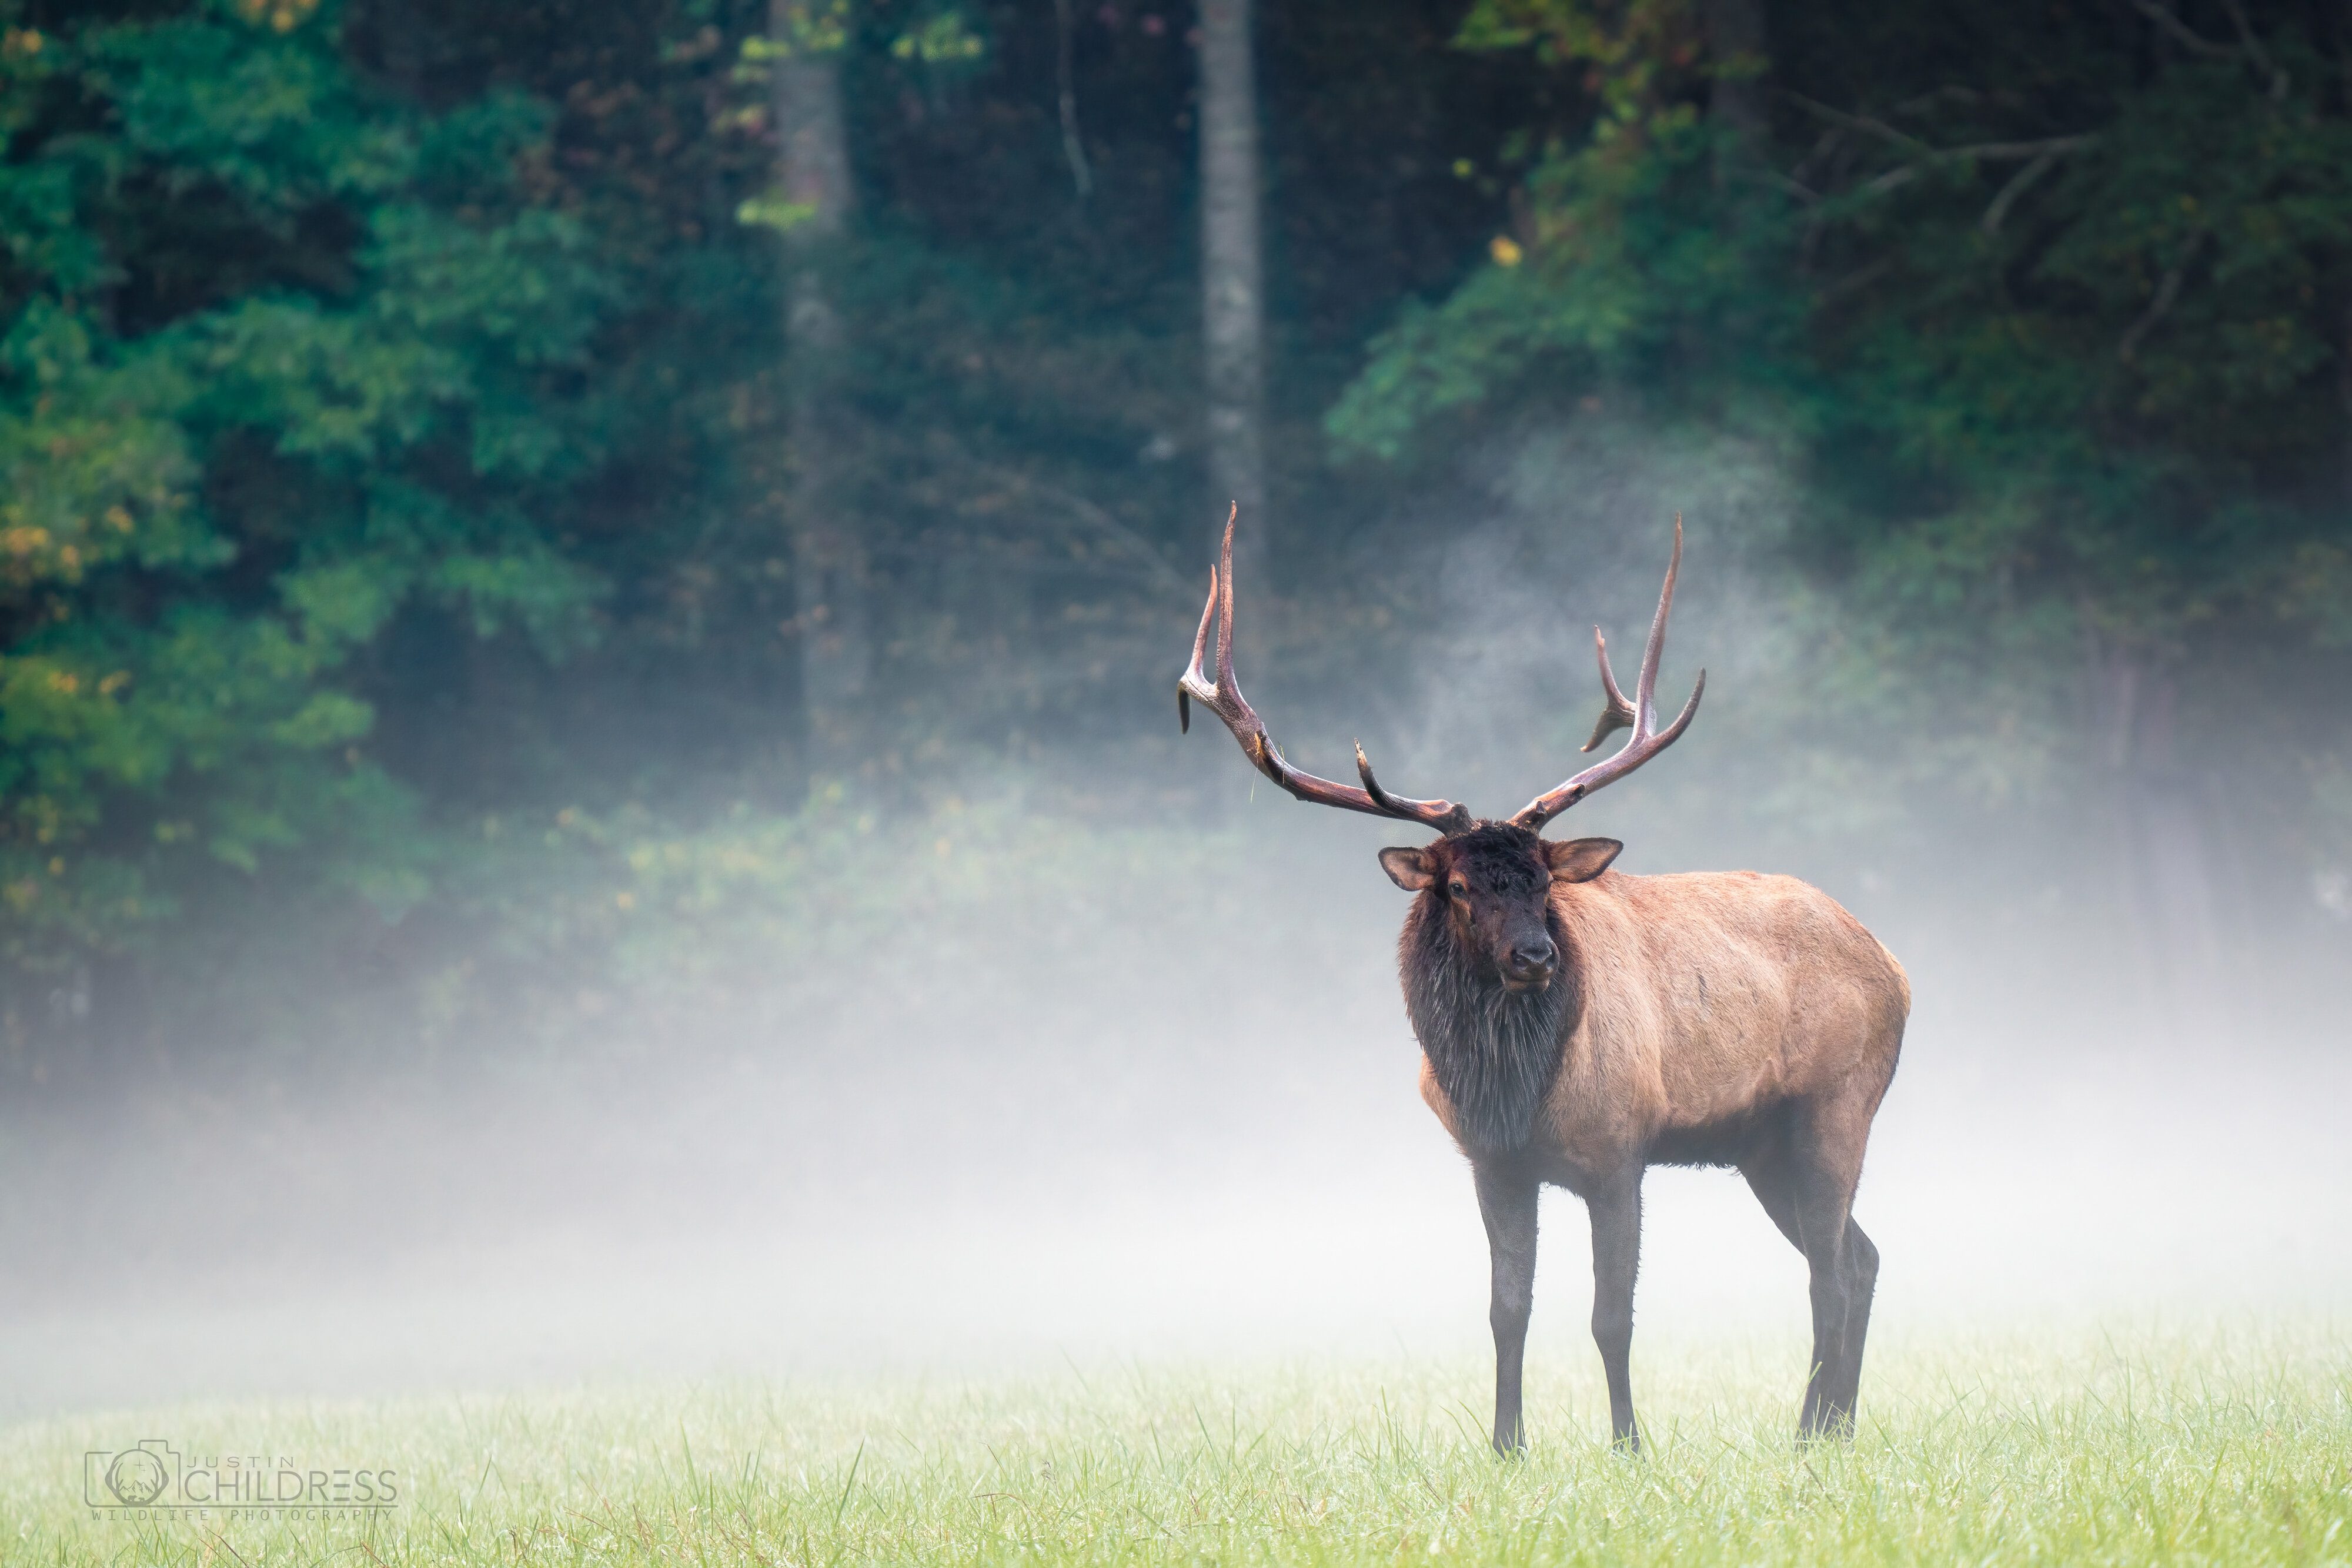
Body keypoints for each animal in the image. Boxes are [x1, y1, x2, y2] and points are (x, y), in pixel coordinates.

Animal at [1176, 510, 1910, 1457]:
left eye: (1542, 880)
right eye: (1458, 885)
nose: (1535, 955)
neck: (1512, 1088)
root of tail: (1895, 967)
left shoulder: (1621, 1148)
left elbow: (1611, 1316)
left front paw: (1629, 1444)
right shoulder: (1493, 1162)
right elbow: (1507, 1309)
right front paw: (1505, 1444)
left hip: (1836, 1104)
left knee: (1829, 1269)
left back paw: (1812, 1433)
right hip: (1760, 1145)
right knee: (1860, 1254)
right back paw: (1832, 1427)